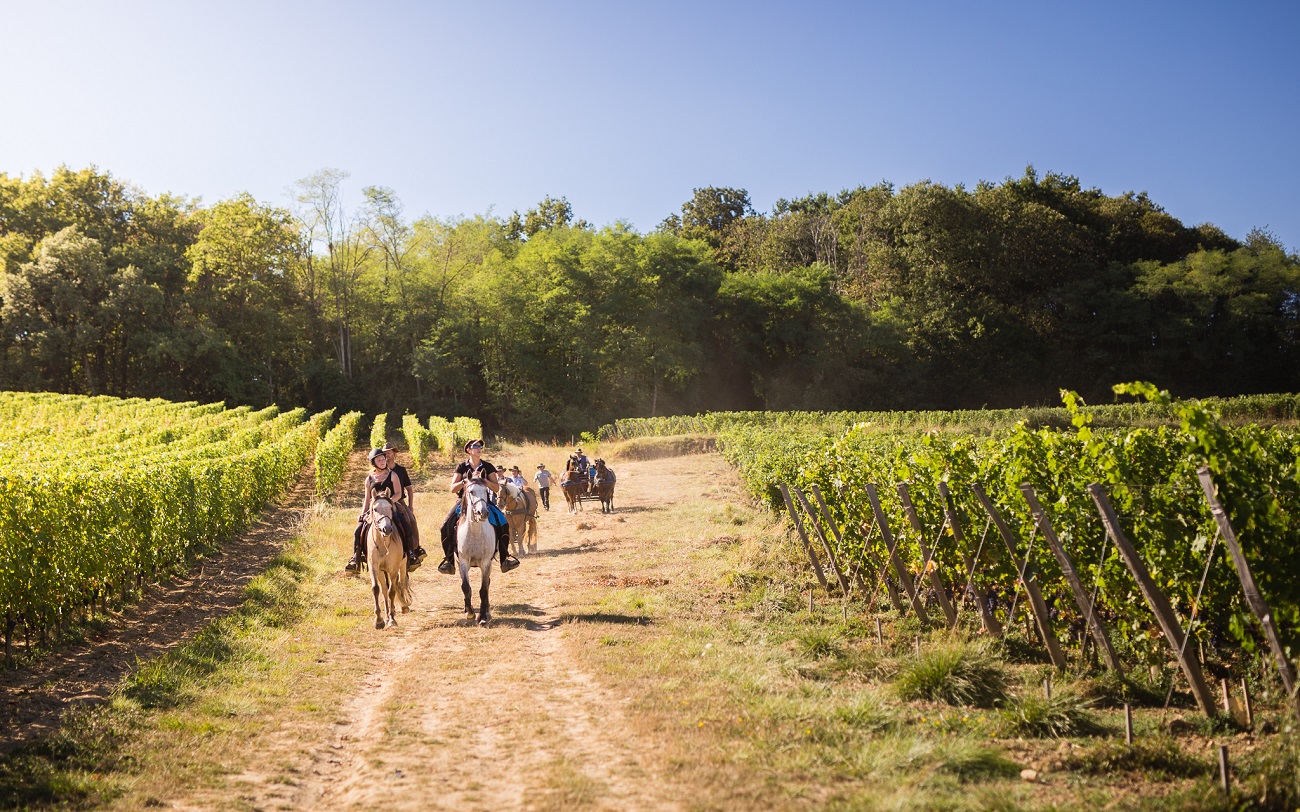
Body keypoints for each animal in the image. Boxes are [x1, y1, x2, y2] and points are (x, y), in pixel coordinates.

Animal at [366, 491, 410, 631]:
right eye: (375, 509)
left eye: (390, 508)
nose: (387, 529)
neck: (383, 543)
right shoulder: (374, 567)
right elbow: (376, 589)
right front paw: (379, 620)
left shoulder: (393, 568)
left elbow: (392, 591)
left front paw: (392, 620)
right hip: (381, 571)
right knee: (384, 589)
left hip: (402, 565)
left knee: (400, 583)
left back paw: (403, 607)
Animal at [457, 475, 496, 626]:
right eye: (471, 491)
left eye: (486, 490)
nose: (483, 513)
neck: (474, 533)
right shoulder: (463, 562)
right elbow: (465, 587)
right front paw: (470, 612)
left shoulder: (486, 563)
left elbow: (484, 589)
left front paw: (483, 616)